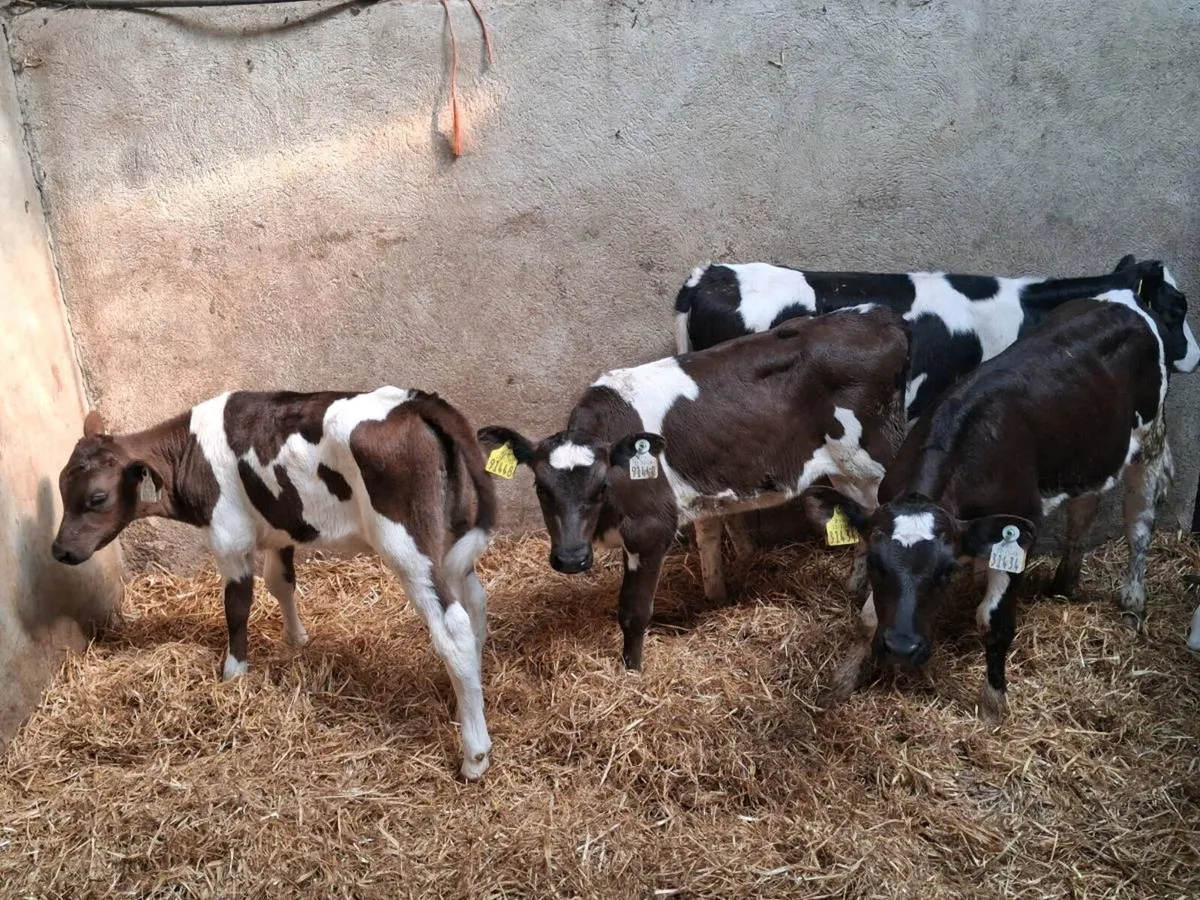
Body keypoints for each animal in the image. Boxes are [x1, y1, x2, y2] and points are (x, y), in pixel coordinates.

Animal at [51, 387, 496, 780]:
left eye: (96, 498)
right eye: (61, 487)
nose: (60, 550)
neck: (189, 453)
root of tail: (414, 402)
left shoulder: (228, 538)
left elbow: (237, 605)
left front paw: (233, 673)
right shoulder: (280, 530)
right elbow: (281, 583)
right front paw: (296, 640)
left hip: (407, 543)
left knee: (452, 626)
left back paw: (474, 755)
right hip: (453, 532)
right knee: (475, 603)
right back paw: (466, 701)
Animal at [478, 306, 910, 670]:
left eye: (601, 488)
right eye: (541, 488)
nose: (570, 559)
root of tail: (880, 318)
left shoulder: (650, 528)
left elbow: (633, 611)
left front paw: (632, 672)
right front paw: (715, 599)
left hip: (873, 463)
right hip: (846, 471)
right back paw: (853, 588)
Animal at [803, 281, 1196, 720]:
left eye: (946, 572)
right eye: (874, 563)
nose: (903, 647)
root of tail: (1126, 297)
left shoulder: (1019, 533)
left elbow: (994, 623)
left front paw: (993, 703)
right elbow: (869, 617)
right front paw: (844, 680)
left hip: (1150, 440)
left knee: (1140, 525)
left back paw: (1133, 603)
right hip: (1091, 453)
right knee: (1083, 510)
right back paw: (1065, 582)